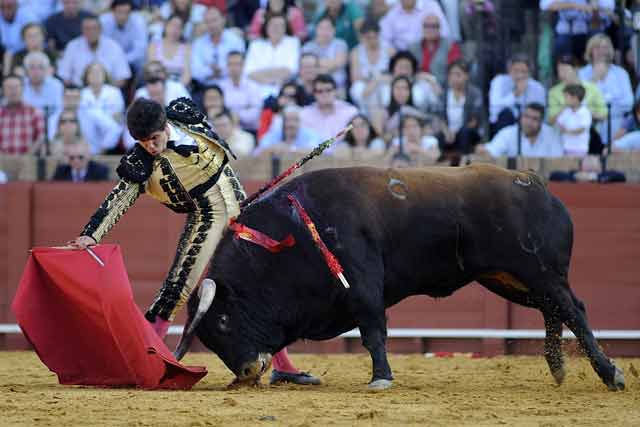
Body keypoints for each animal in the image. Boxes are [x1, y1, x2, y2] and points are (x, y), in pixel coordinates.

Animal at [175, 164, 624, 392]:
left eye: (224, 321)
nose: (248, 371)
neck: (293, 232)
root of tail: (536, 182)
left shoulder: (362, 286)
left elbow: (373, 331)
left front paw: (381, 378)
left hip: (538, 271)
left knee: (573, 309)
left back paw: (610, 374)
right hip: (507, 279)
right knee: (554, 311)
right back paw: (558, 369)